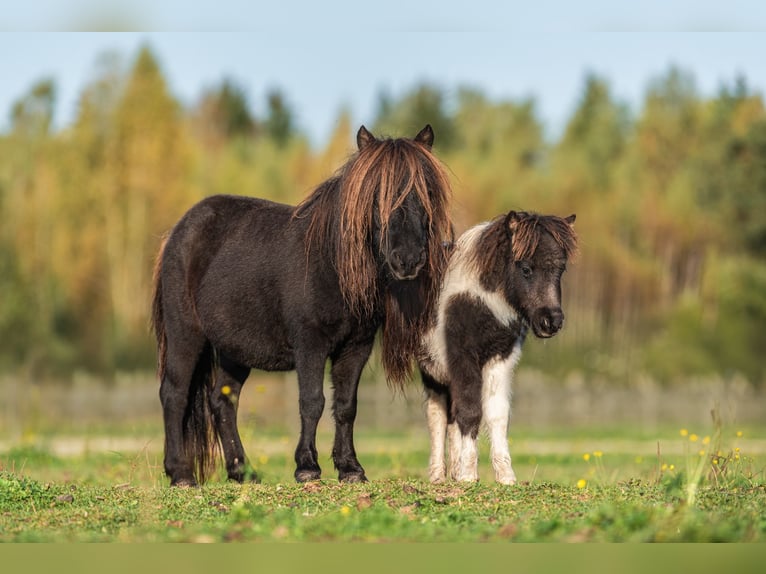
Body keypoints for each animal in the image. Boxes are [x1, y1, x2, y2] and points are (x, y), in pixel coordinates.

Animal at [152, 125, 452, 486]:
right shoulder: (310, 344)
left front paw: (351, 468)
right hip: (186, 335)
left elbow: (346, 405)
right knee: (175, 394)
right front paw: (307, 466)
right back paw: (181, 473)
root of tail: (178, 231)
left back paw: (243, 471)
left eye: (427, 192)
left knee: (222, 400)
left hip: (233, 350)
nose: (407, 259)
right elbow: (312, 402)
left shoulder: (356, 347)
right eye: (377, 195)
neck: (331, 264)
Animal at [420, 212, 576, 486]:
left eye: (561, 269)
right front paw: (469, 475)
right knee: (437, 416)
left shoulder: (501, 357)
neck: (481, 301)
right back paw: (439, 476)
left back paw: (453, 472)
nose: (551, 322)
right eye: (526, 268)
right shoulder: (462, 357)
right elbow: (470, 411)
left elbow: (497, 414)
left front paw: (505, 477)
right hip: (432, 368)